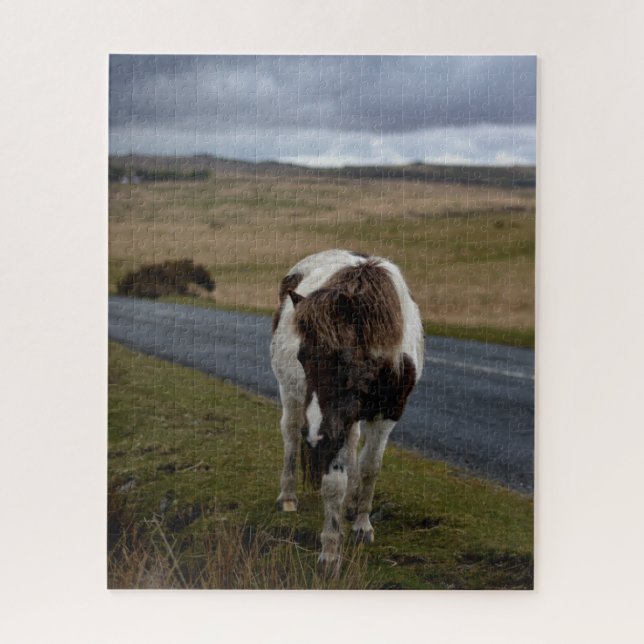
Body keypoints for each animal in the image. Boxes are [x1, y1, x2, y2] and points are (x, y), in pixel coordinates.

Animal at [270, 249, 424, 571]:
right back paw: (288, 497)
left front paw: (362, 524)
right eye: (302, 356)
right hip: (291, 396)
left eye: (344, 358)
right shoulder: (330, 425)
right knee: (290, 435)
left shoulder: (386, 415)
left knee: (354, 448)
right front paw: (330, 552)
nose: (315, 435)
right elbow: (333, 483)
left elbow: (369, 468)